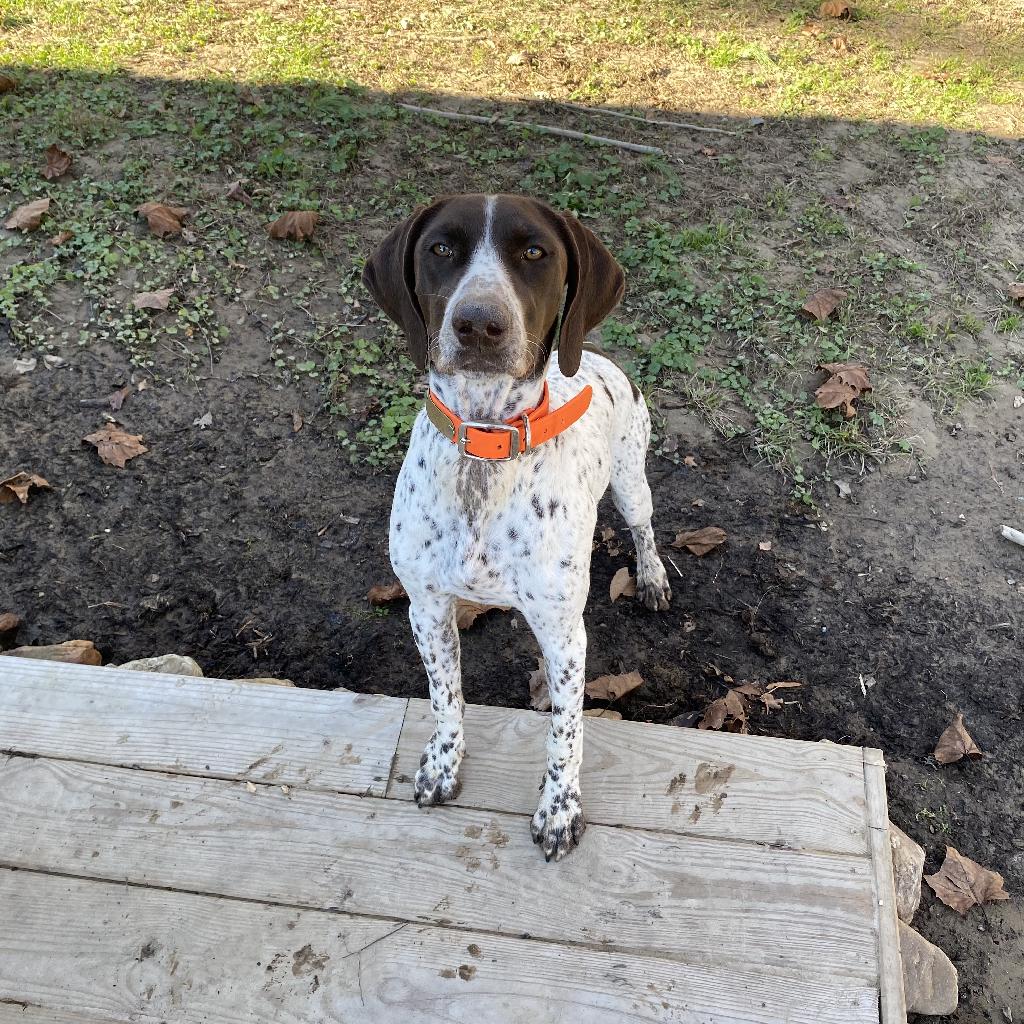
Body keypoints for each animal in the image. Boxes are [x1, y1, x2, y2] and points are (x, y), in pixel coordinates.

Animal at [362, 193, 671, 864]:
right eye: (440, 248)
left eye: (534, 251)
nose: (479, 323)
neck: (487, 443)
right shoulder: (426, 606)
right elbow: (445, 697)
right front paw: (442, 765)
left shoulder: (564, 634)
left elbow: (566, 730)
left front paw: (559, 811)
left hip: (631, 481)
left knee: (644, 526)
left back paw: (653, 575)